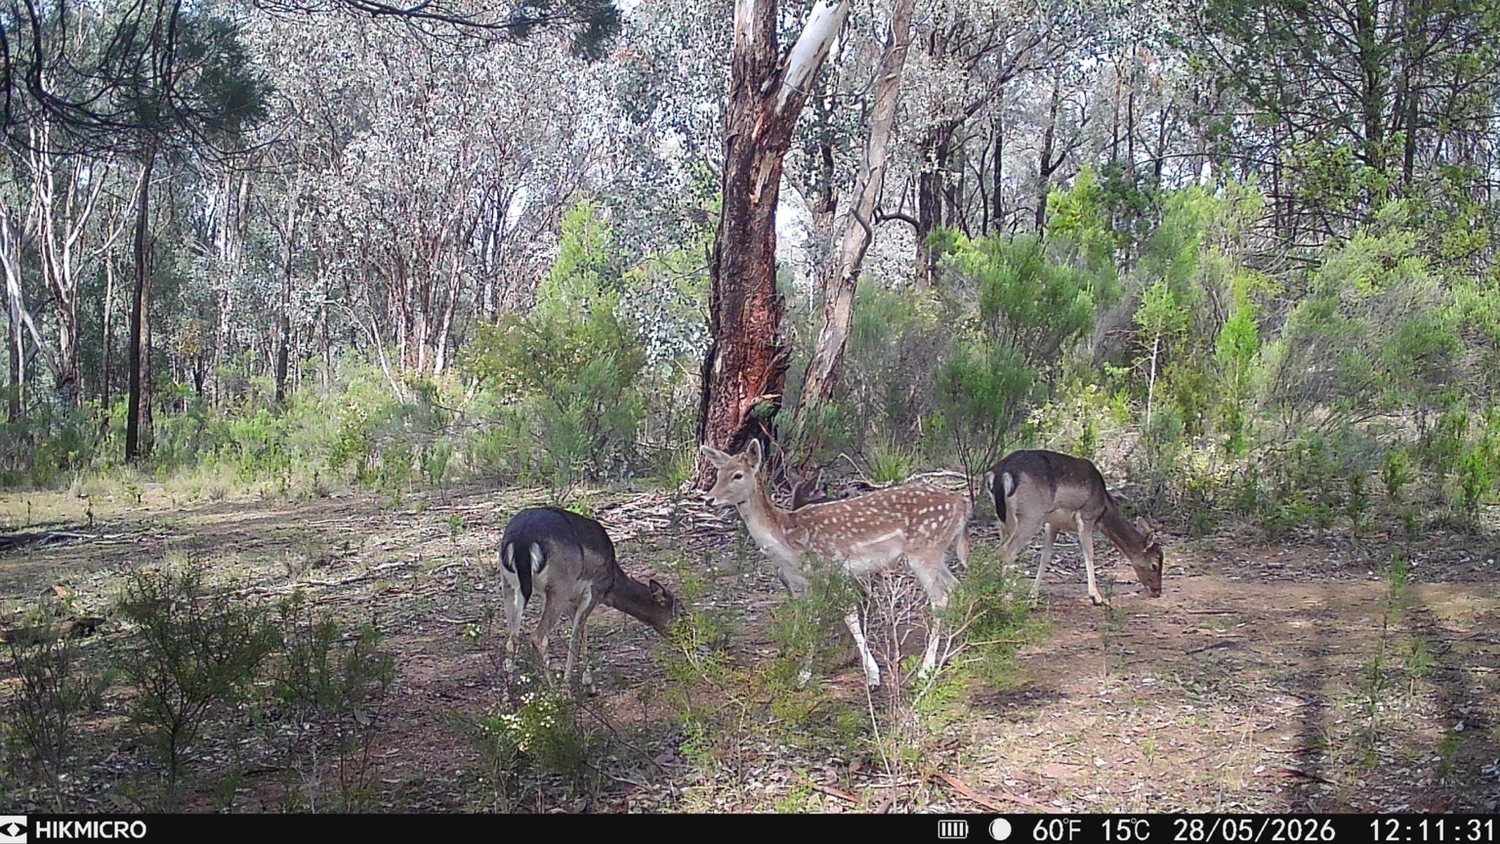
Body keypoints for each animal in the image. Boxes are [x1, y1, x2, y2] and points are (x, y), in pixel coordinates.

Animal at [498, 507, 679, 690]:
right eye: (680, 611)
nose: (684, 636)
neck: (611, 581)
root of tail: (521, 541)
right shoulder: (594, 589)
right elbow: (576, 635)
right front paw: (569, 686)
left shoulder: (572, 598)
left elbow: (582, 630)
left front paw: (588, 683)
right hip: (560, 585)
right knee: (538, 637)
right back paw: (555, 691)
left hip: (510, 585)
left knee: (512, 638)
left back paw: (509, 692)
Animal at [699, 439, 969, 689]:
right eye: (718, 473)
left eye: (737, 475)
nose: (709, 499)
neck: (787, 538)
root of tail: (962, 503)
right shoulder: (800, 583)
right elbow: (812, 618)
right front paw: (798, 664)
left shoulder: (828, 568)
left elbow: (839, 617)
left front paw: (817, 675)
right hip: (937, 552)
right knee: (957, 587)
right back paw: (959, 643)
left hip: (924, 550)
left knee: (940, 600)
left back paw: (926, 669)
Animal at [982, 449, 1164, 606]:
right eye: (1154, 565)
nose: (1157, 592)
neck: (1103, 507)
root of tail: (1000, 473)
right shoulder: (1086, 515)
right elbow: (1089, 552)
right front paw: (1097, 597)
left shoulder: (1053, 523)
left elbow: (1045, 556)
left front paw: (1033, 595)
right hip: (1031, 515)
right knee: (1007, 549)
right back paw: (1006, 597)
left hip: (1004, 519)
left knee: (999, 549)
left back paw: (994, 591)